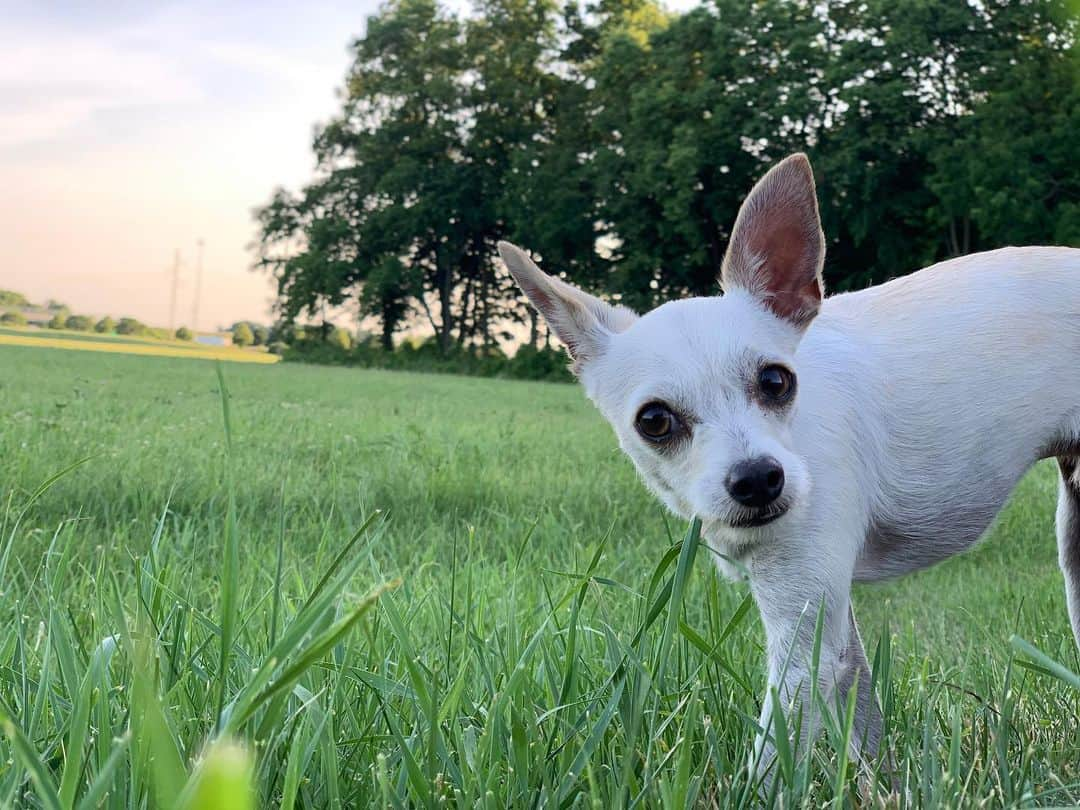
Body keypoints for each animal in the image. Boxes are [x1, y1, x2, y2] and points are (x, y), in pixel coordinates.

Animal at [496, 155, 1080, 777]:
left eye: (776, 381)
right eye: (654, 421)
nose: (757, 478)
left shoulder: (803, 646)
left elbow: (770, 761)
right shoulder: (832, 625)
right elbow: (862, 722)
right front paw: (880, 785)